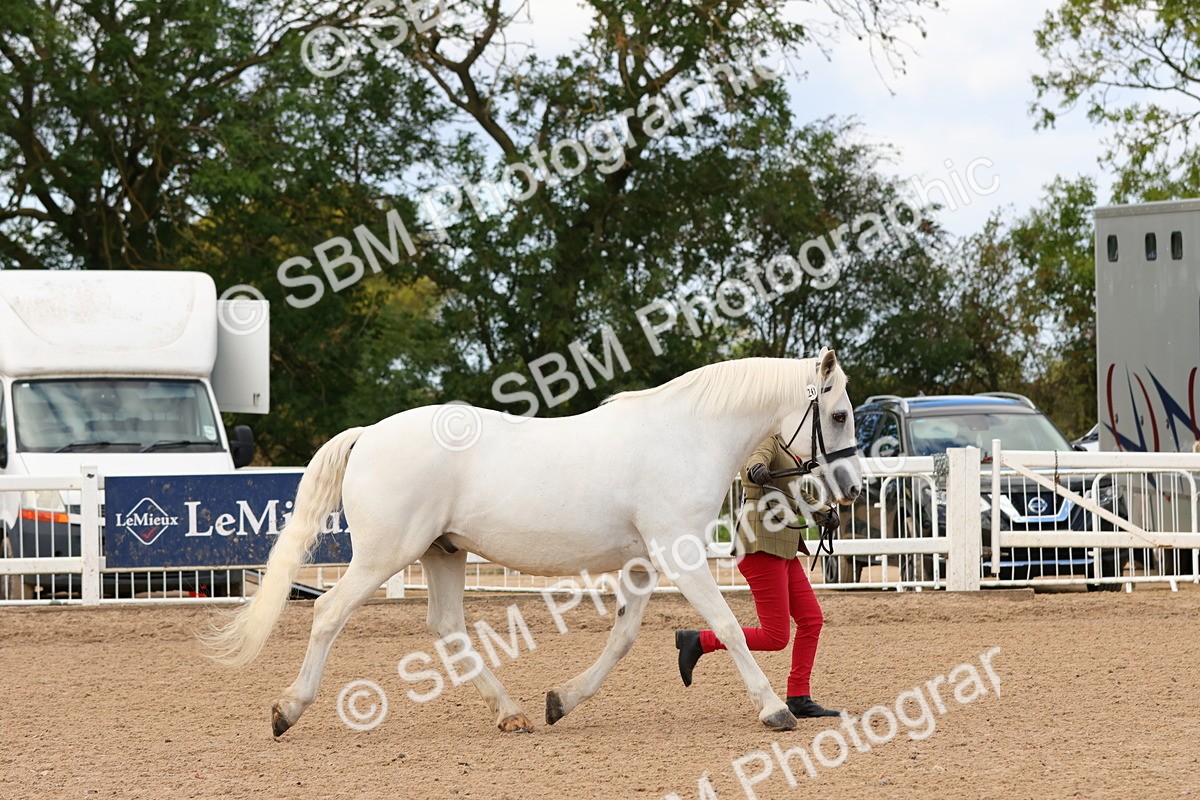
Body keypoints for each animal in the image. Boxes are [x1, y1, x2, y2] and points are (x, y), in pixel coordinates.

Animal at [203, 348, 862, 735]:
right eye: (838, 415)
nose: (853, 488)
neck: (685, 437)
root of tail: (369, 434)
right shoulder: (681, 557)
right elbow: (727, 625)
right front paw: (775, 709)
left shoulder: (642, 565)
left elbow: (623, 637)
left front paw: (561, 701)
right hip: (384, 556)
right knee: (329, 613)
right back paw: (287, 710)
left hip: (443, 552)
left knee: (447, 627)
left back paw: (512, 713)